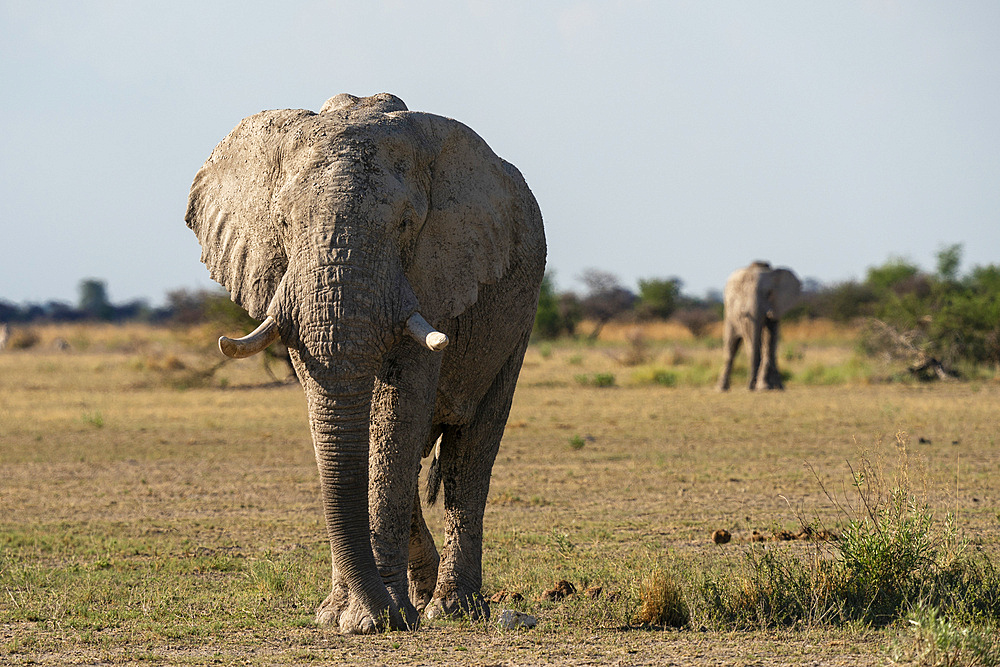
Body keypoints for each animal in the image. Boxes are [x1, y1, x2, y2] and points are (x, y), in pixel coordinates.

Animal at [186, 92, 548, 632]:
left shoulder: (433, 275)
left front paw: (370, 619)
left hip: (520, 316)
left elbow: (397, 412)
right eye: (284, 224)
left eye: (405, 224)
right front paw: (347, 617)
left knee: (471, 449)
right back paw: (424, 595)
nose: (382, 616)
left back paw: (450, 607)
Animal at [716, 262, 800, 392]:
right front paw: (763, 387)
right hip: (729, 315)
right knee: (731, 347)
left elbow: (770, 340)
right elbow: (751, 339)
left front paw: (771, 387)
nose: (750, 386)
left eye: (769, 293)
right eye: (743, 294)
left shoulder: (776, 306)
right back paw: (721, 389)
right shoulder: (744, 313)